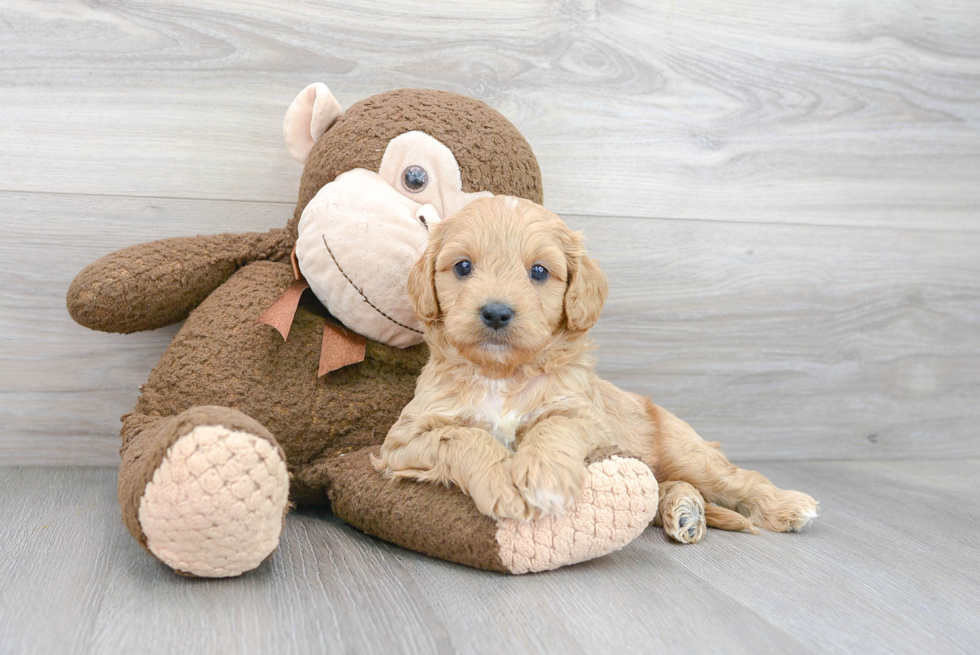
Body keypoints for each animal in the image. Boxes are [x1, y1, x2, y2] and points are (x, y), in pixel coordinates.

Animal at [376, 195, 820, 544]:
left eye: (539, 271)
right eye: (463, 267)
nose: (496, 312)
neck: (503, 375)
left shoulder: (588, 418)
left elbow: (554, 425)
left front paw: (544, 477)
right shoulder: (401, 442)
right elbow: (462, 436)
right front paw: (501, 479)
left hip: (689, 452)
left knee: (737, 478)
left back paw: (787, 506)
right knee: (663, 487)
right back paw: (685, 510)